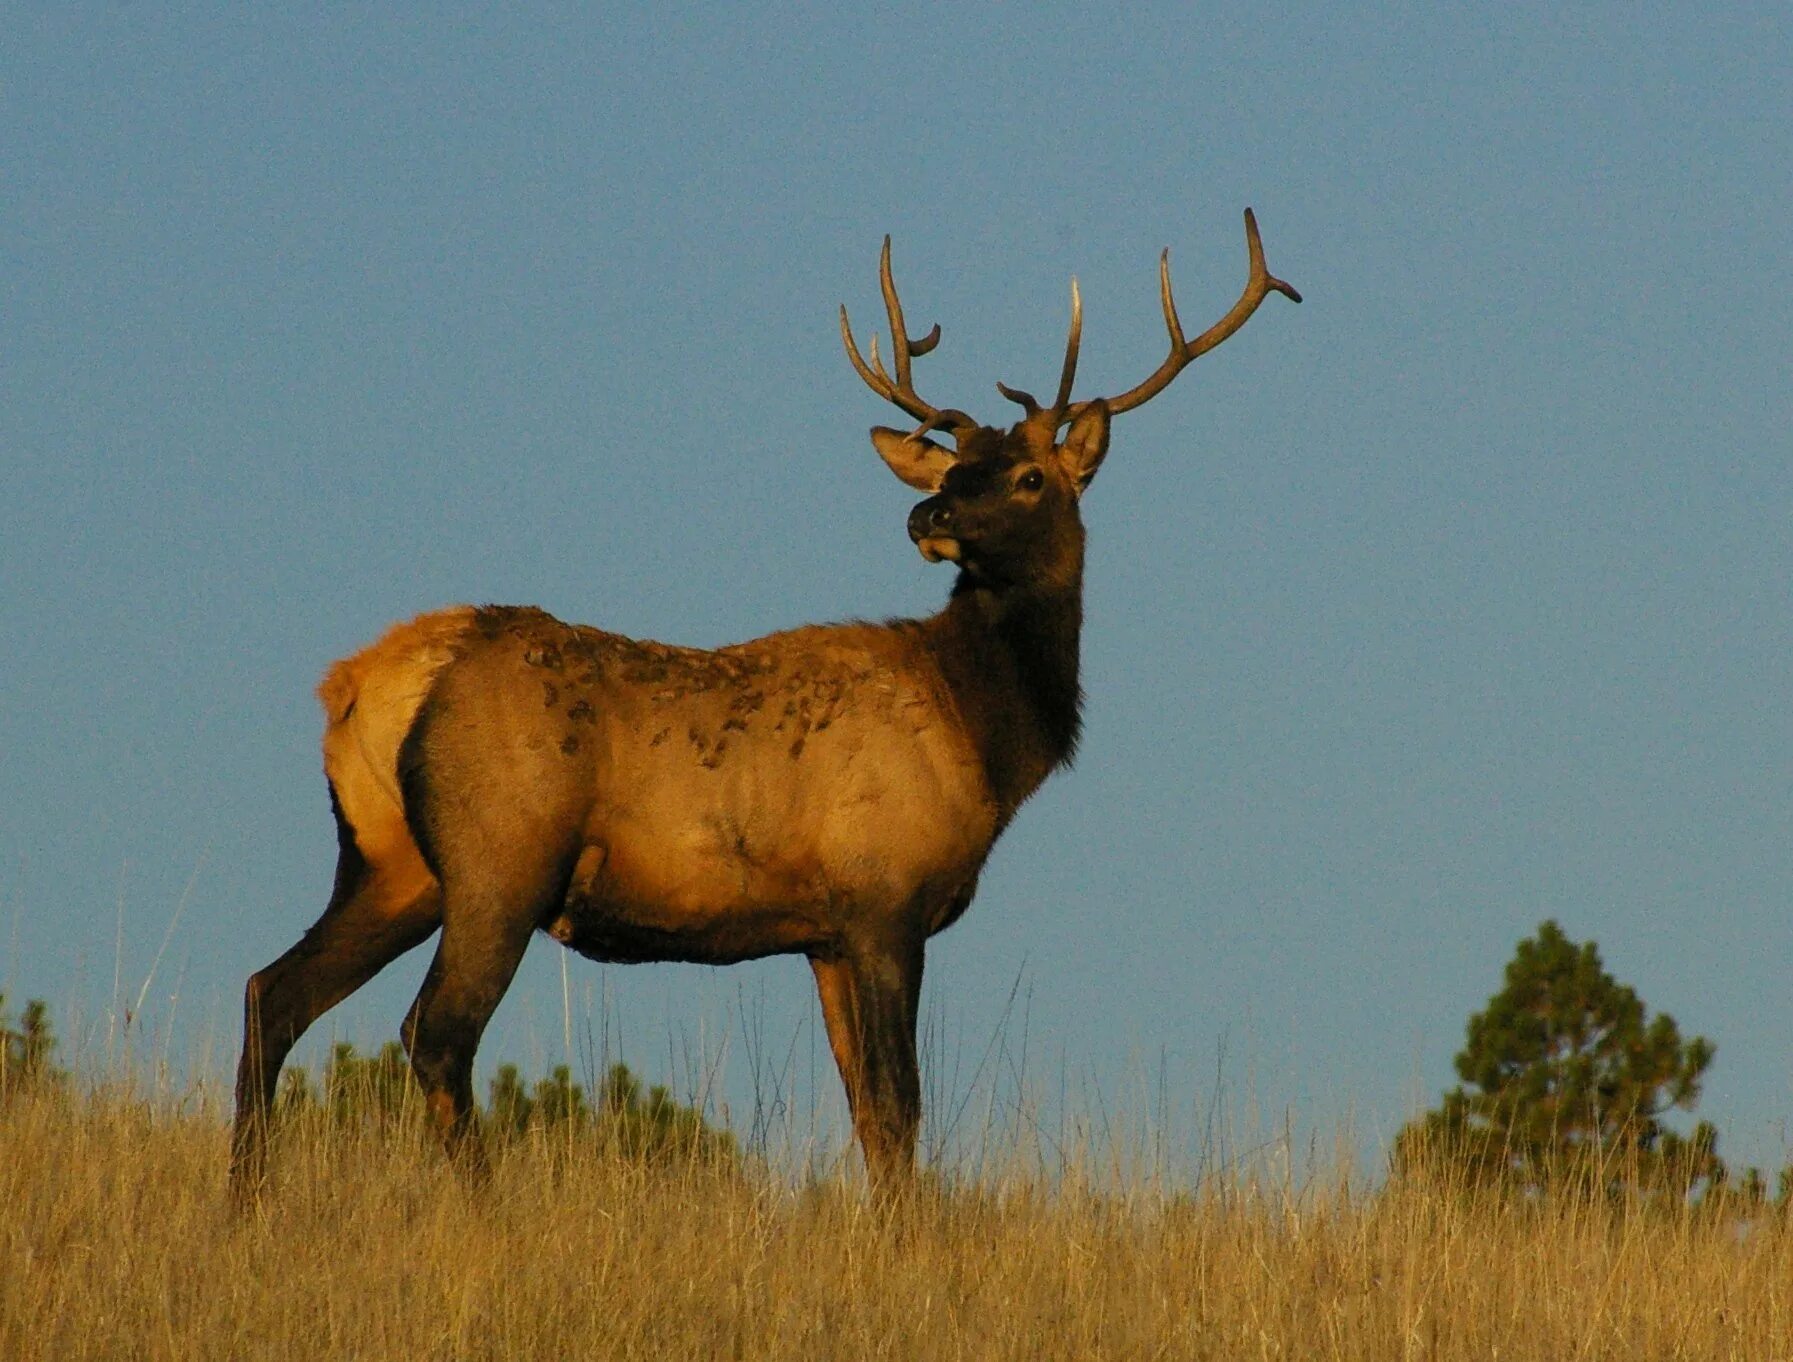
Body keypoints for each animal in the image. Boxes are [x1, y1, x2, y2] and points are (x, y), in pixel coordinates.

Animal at [231, 207, 1298, 1197]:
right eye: (956, 468)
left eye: (1029, 476)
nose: (927, 512)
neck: (984, 736)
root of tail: (369, 680)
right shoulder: (882, 897)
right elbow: (901, 1107)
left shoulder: (821, 936)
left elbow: (868, 1114)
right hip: (502, 854)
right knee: (436, 1032)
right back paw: (479, 1212)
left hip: (389, 859)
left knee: (270, 992)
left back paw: (246, 1202)